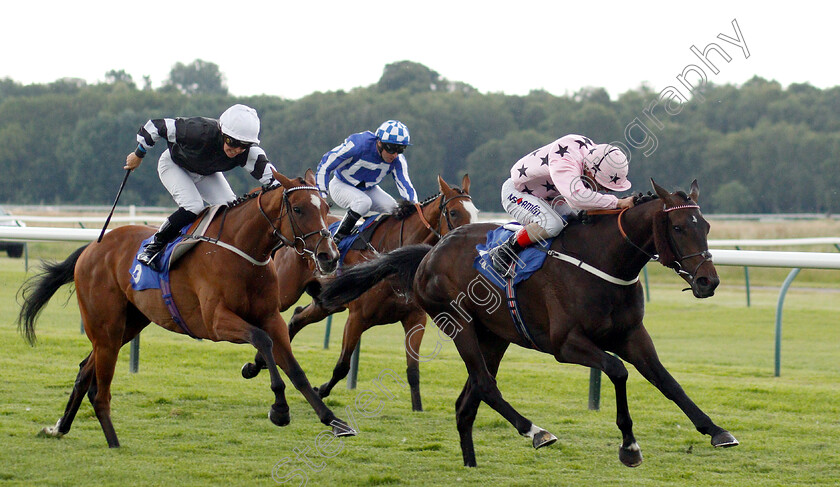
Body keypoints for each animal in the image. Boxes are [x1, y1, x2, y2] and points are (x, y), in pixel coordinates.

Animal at [16, 170, 356, 448]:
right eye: (298, 209)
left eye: (326, 209)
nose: (329, 256)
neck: (243, 252)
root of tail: (92, 247)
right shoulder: (216, 322)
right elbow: (263, 340)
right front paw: (280, 409)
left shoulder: (270, 316)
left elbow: (295, 368)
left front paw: (334, 421)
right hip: (106, 327)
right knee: (100, 388)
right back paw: (112, 441)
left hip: (128, 325)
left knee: (85, 370)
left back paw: (60, 427)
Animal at [243, 175, 480, 412]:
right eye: (453, 212)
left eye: (475, 212)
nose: (469, 242)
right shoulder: (358, 318)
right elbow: (342, 366)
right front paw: (321, 390)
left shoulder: (415, 319)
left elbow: (413, 370)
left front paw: (418, 408)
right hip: (286, 292)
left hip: (327, 301)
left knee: (297, 316)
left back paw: (259, 362)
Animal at [318, 180, 740, 468]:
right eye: (679, 228)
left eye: (705, 226)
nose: (708, 281)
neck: (604, 260)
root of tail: (430, 251)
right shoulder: (565, 344)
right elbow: (618, 371)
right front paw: (629, 447)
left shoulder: (631, 335)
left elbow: (666, 380)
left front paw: (717, 431)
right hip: (457, 324)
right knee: (486, 386)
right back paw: (535, 431)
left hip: (494, 336)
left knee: (467, 400)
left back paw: (471, 465)